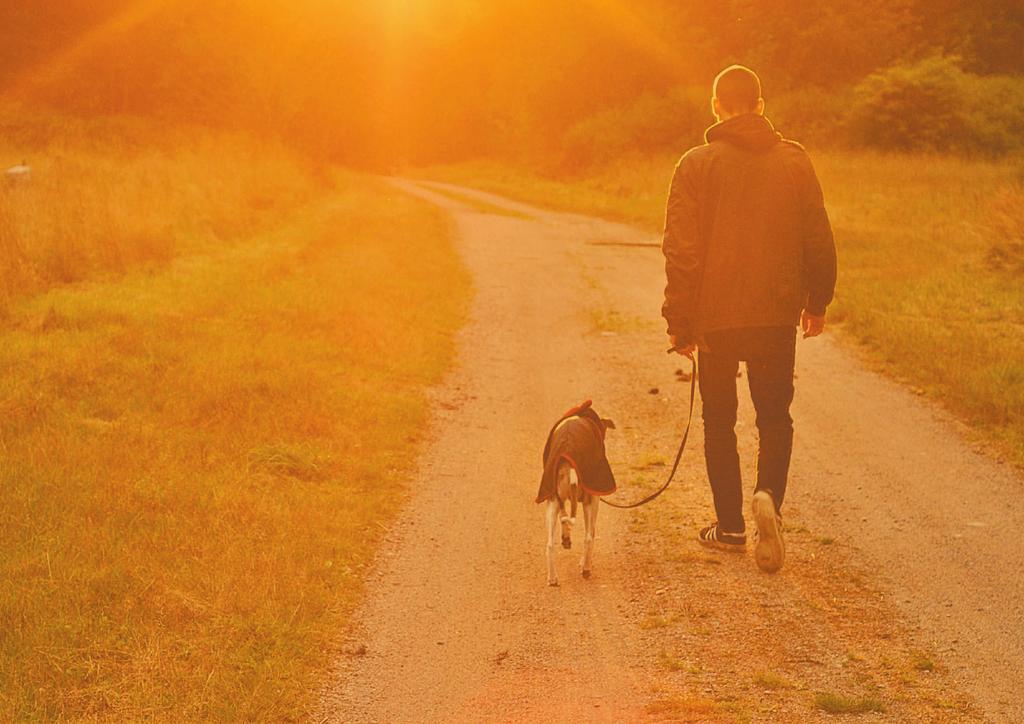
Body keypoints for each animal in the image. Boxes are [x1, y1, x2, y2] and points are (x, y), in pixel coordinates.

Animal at [536, 399, 614, 585]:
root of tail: (568, 455)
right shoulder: (594, 499)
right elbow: (590, 533)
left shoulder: (560, 500)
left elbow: (564, 520)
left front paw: (566, 538)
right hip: (589, 501)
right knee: (589, 537)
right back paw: (586, 568)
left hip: (552, 501)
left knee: (550, 544)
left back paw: (552, 579)